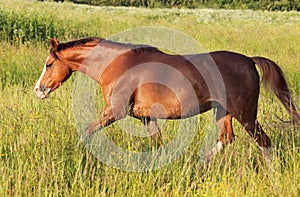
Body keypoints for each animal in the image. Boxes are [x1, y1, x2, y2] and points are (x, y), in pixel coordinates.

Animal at [34, 37, 298, 164]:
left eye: (49, 64)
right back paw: (199, 164)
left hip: (246, 114)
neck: (116, 64)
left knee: (264, 142)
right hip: (223, 112)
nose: (39, 90)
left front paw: (77, 156)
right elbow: (158, 145)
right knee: (226, 139)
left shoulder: (115, 111)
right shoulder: (146, 117)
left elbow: (87, 132)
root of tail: (250, 61)